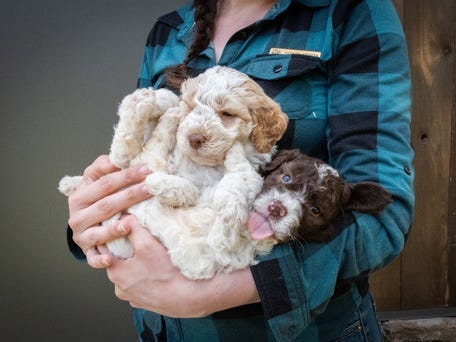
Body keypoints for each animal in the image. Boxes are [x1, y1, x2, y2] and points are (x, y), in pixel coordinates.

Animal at [59, 65, 288, 280]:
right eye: (191, 106)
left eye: (227, 114)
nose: (194, 138)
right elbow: (171, 103)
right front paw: (163, 99)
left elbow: (241, 181)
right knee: (123, 156)